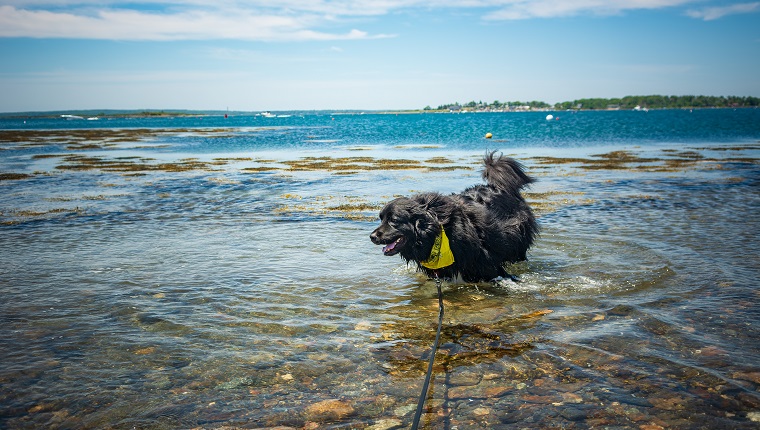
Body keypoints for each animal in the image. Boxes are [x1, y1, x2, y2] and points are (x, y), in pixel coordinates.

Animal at [372, 153, 536, 284]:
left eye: (393, 220)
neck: (436, 231)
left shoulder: (487, 264)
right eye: (381, 219)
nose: (372, 236)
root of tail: (500, 187)